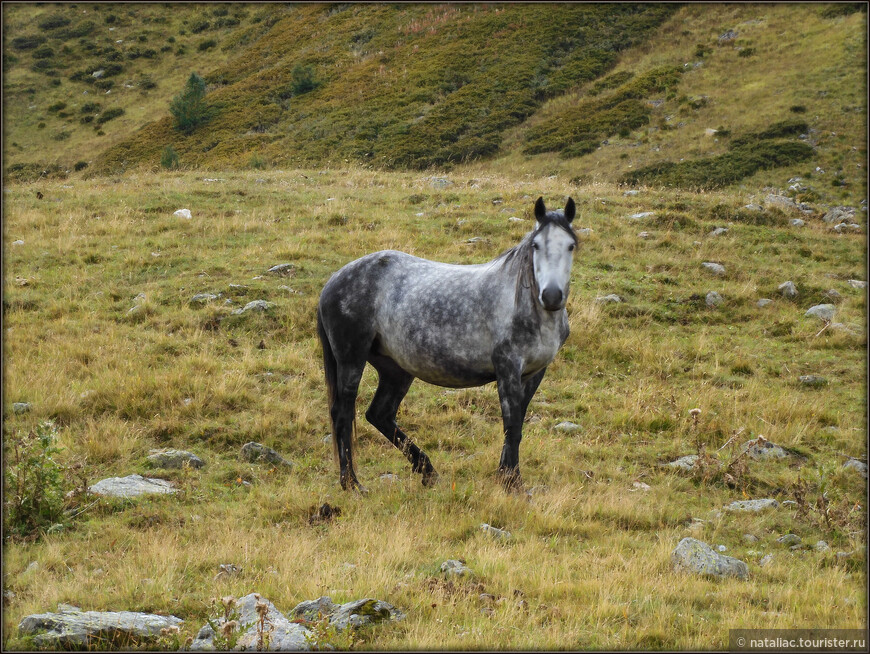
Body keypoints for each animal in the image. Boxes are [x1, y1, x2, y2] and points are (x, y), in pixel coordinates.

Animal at [316, 197, 580, 494]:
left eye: (571, 245)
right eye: (536, 245)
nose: (552, 296)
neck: (525, 307)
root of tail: (333, 281)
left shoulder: (534, 373)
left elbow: (516, 424)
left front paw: (505, 476)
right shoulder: (508, 368)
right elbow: (511, 426)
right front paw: (512, 483)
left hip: (395, 369)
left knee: (379, 414)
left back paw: (427, 472)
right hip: (351, 359)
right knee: (343, 413)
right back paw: (352, 483)